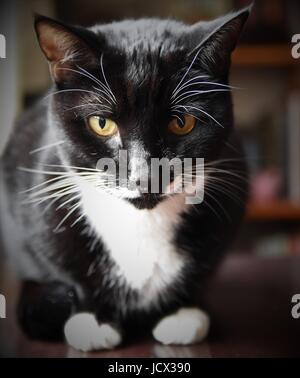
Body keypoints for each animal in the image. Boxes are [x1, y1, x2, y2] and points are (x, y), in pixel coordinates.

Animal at [0, 5, 251, 352]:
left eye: (182, 123)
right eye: (102, 123)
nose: (144, 174)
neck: (141, 226)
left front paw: (183, 313)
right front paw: (93, 320)